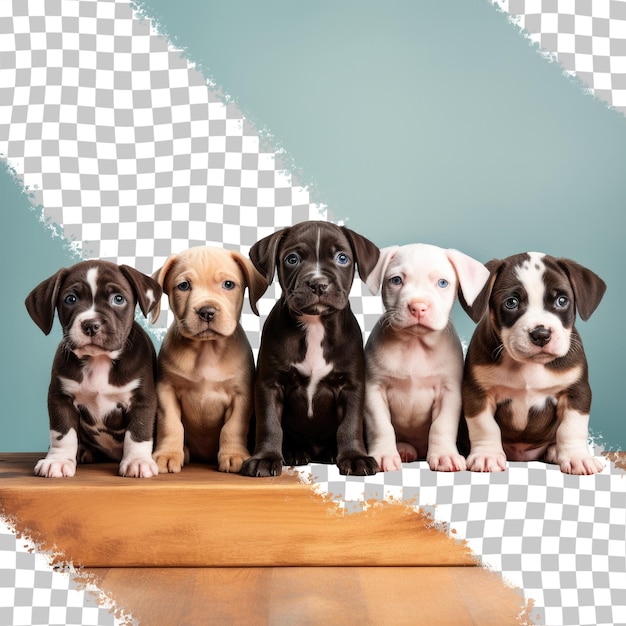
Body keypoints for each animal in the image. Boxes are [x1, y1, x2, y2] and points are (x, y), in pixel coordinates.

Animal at [24, 258, 162, 478]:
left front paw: (137, 461)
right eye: (70, 299)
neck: (99, 361)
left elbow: (138, 431)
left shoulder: (142, 400)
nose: (91, 325)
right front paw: (58, 461)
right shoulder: (60, 399)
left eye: (118, 299)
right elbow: (62, 434)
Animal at [152, 246, 268, 470]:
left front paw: (234, 455)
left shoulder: (241, 396)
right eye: (184, 286)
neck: (206, 350)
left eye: (228, 284)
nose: (207, 311)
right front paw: (168, 454)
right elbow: (170, 424)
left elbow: (233, 427)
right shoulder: (165, 390)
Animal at [241, 222, 380, 476]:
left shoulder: (352, 386)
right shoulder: (269, 385)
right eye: (292, 259)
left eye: (342, 258)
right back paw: (293, 452)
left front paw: (355, 457)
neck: (315, 325)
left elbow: (350, 424)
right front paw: (265, 458)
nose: (318, 283)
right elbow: (269, 424)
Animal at [364, 241, 490, 470]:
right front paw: (384, 455)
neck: (415, 345)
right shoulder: (374, 390)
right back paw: (403, 449)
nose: (418, 307)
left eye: (442, 283)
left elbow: (442, 425)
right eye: (396, 280)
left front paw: (444, 455)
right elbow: (381, 426)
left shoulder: (449, 392)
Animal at [460, 249, 604, 472]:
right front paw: (487, 455)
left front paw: (576, 457)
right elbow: (485, 427)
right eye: (511, 302)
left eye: (562, 301)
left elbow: (571, 428)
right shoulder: (477, 393)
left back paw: (555, 451)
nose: (541, 334)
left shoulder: (576, 392)